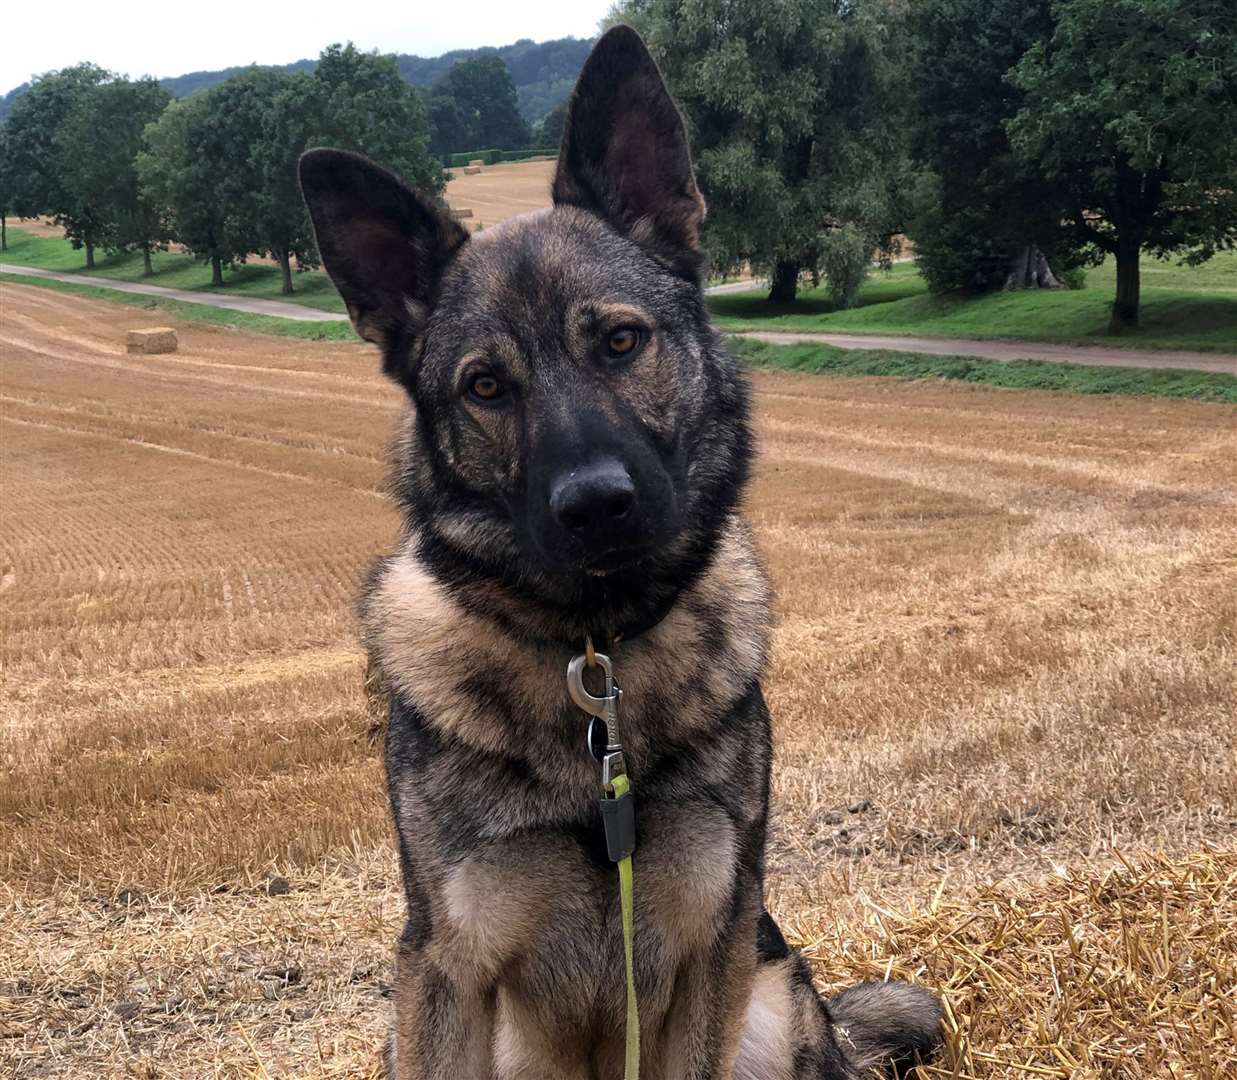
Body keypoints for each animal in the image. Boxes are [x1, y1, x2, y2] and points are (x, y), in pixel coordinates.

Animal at [299, 23, 935, 1078]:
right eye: (484, 386)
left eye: (621, 342)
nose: (596, 506)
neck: (593, 652)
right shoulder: (446, 967)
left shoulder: (711, 944)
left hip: (772, 1000)